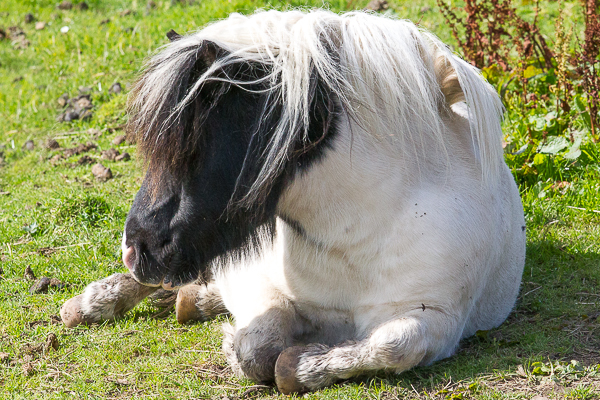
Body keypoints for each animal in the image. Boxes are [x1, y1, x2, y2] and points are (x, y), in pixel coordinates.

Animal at [61, 9, 524, 394]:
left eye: (195, 145)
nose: (135, 249)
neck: (350, 238)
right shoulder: (254, 281)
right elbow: (255, 348)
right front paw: (238, 347)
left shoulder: (437, 317)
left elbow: (393, 345)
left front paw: (304, 365)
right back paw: (93, 303)